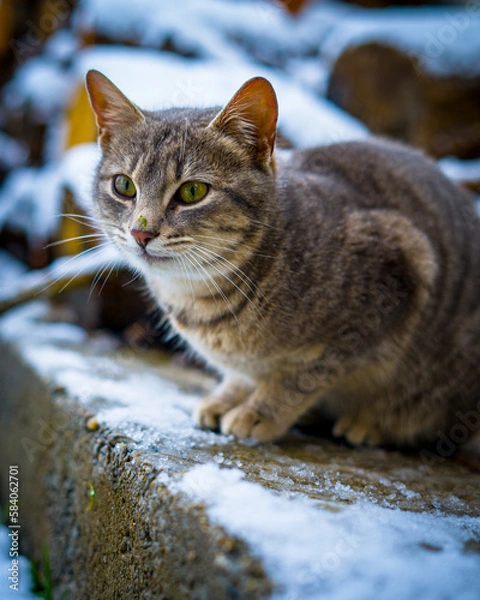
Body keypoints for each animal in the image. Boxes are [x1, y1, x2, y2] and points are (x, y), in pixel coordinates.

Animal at [84, 70, 480, 452]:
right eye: (124, 186)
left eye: (192, 191)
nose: (141, 232)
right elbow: (242, 375)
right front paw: (228, 397)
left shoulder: (392, 280)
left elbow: (300, 375)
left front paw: (259, 411)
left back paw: (371, 424)